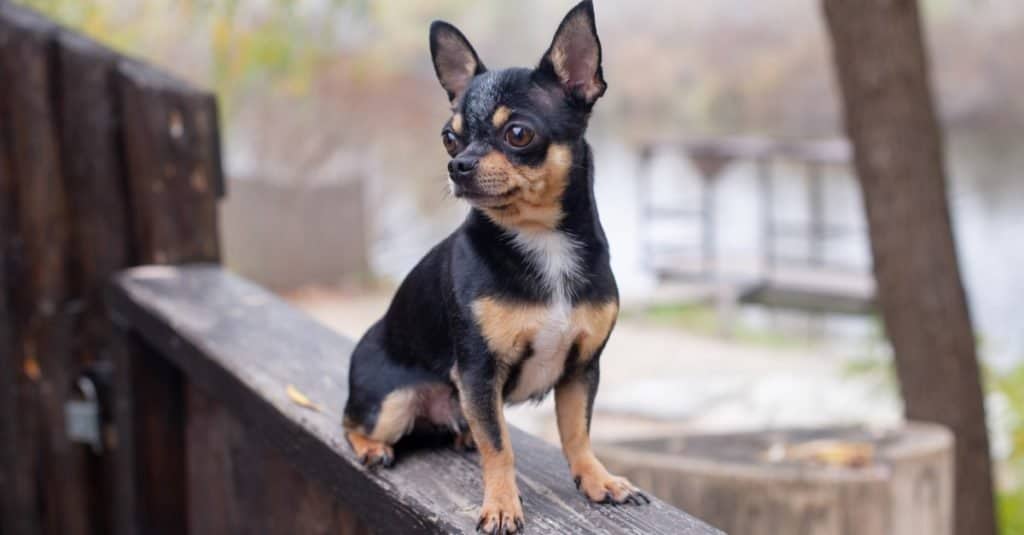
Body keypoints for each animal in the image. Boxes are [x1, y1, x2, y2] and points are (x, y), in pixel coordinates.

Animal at [344, 2, 647, 528]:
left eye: (518, 134)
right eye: (449, 138)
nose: (457, 164)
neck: (542, 241)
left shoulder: (581, 370)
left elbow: (577, 433)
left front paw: (598, 479)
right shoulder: (479, 374)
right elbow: (499, 445)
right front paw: (503, 505)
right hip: (393, 402)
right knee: (349, 420)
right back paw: (371, 448)